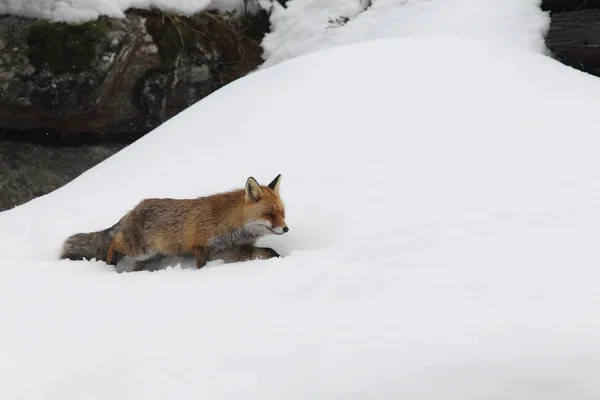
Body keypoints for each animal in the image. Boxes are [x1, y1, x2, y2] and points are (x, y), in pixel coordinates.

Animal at [59, 175, 290, 272]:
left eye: (282, 213)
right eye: (270, 214)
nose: (286, 228)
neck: (230, 222)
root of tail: (133, 209)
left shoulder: (234, 249)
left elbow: (268, 251)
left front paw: (281, 258)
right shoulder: (201, 246)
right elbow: (200, 266)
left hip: (149, 257)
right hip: (140, 250)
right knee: (114, 240)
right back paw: (109, 263)